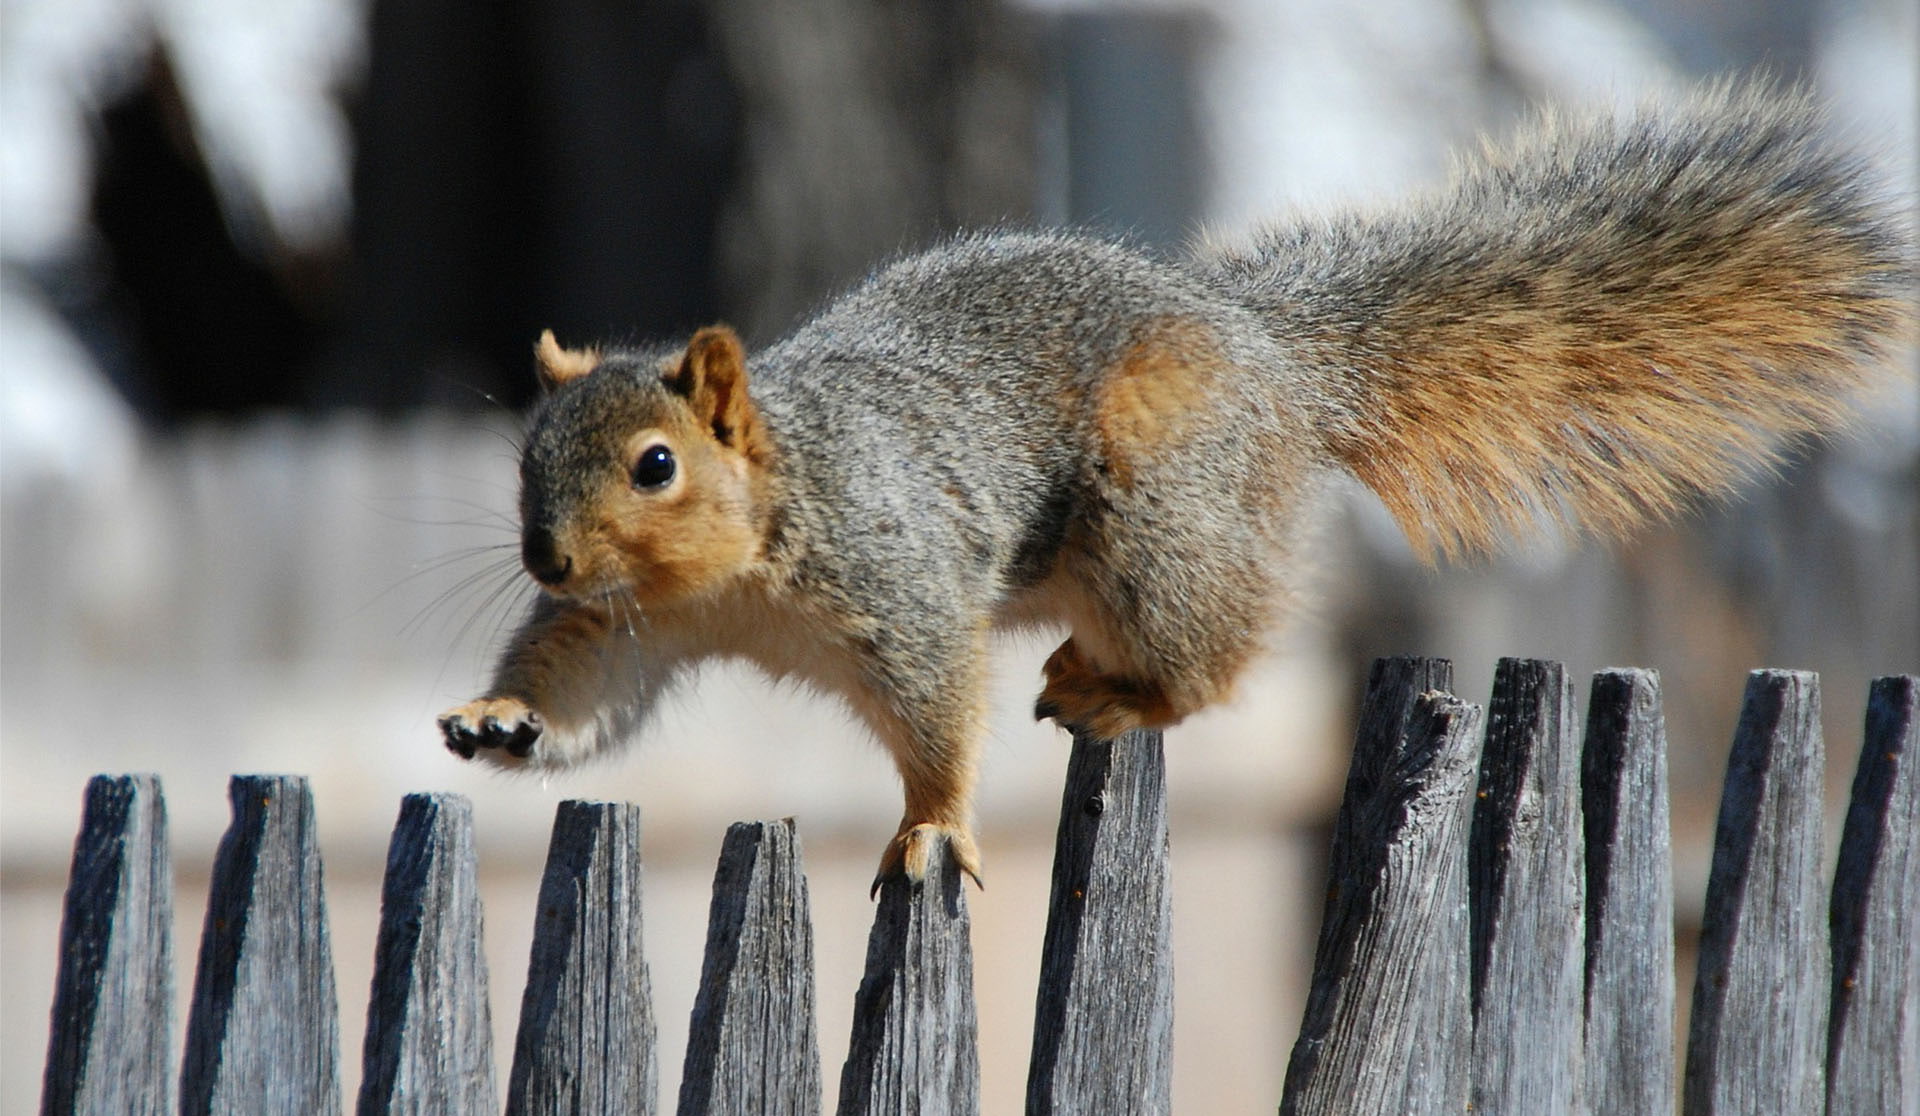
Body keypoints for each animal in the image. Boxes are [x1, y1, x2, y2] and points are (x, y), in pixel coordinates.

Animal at [439, 86, 1914, 889]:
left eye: (657, 464)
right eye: (528, 456)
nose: (548, 557)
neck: (746, 555)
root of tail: (1274, 361)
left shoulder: (900, 583)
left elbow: (937, 718)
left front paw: (934, 831)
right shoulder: (632, 627)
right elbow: (588, 691)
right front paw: (500, 719)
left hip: (1160, 513)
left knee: (1216, 660)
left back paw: (1121, 688)